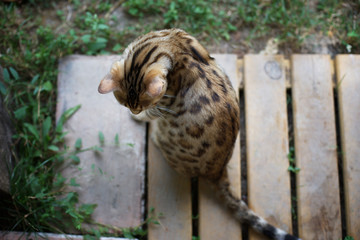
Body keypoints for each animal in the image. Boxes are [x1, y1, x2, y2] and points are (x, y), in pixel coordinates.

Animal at [97, 28, 300, 240]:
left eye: (140, 106)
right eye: (124, 103)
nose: (134, 111)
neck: (170, 43)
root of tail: (218, 171)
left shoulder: (162, 106)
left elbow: (151, 114)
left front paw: (138, 118)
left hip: (167, 137)